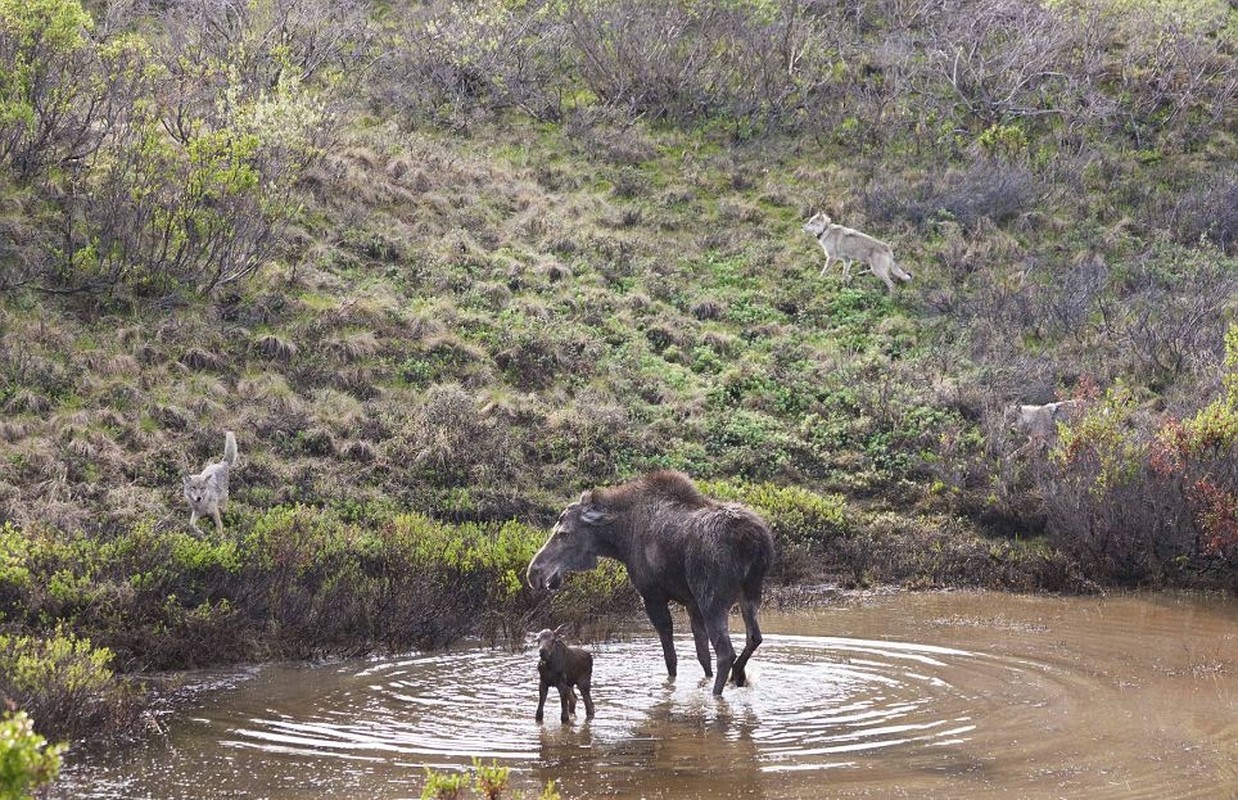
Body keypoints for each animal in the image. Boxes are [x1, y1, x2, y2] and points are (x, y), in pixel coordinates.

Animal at [524, 470, 772, 693]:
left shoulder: (652, 596)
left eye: (563, 533)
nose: (534, 573)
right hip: (750, 592)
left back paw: (717, 694)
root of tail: (753, 541)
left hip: (713, 599)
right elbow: (702, 656)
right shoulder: (691, 602)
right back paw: (738, 676)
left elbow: (671, 659)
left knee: (725, 653)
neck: (621, 540)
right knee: (754, 637)